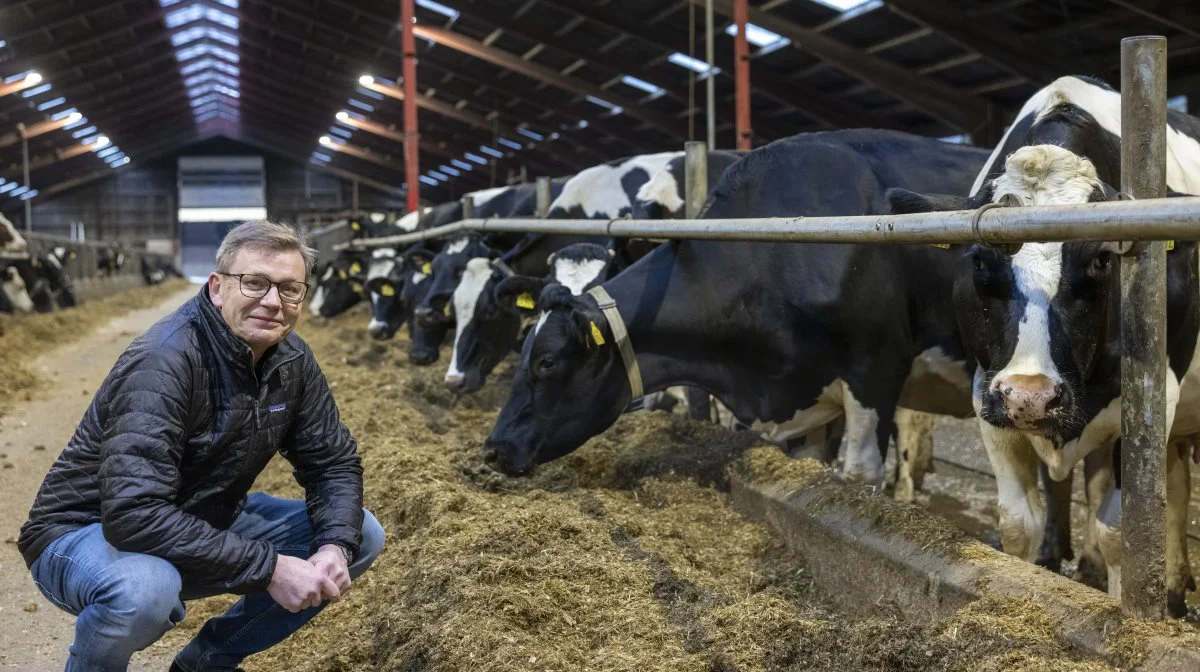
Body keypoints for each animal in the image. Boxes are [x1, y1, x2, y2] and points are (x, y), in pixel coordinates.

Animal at [888, 73, 1200, 614]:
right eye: (978, 260)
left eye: (1101, 259)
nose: (1030, 395)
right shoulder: (985, 390)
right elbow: (1018, 523)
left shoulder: (1157, 393)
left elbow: (1122, 532)